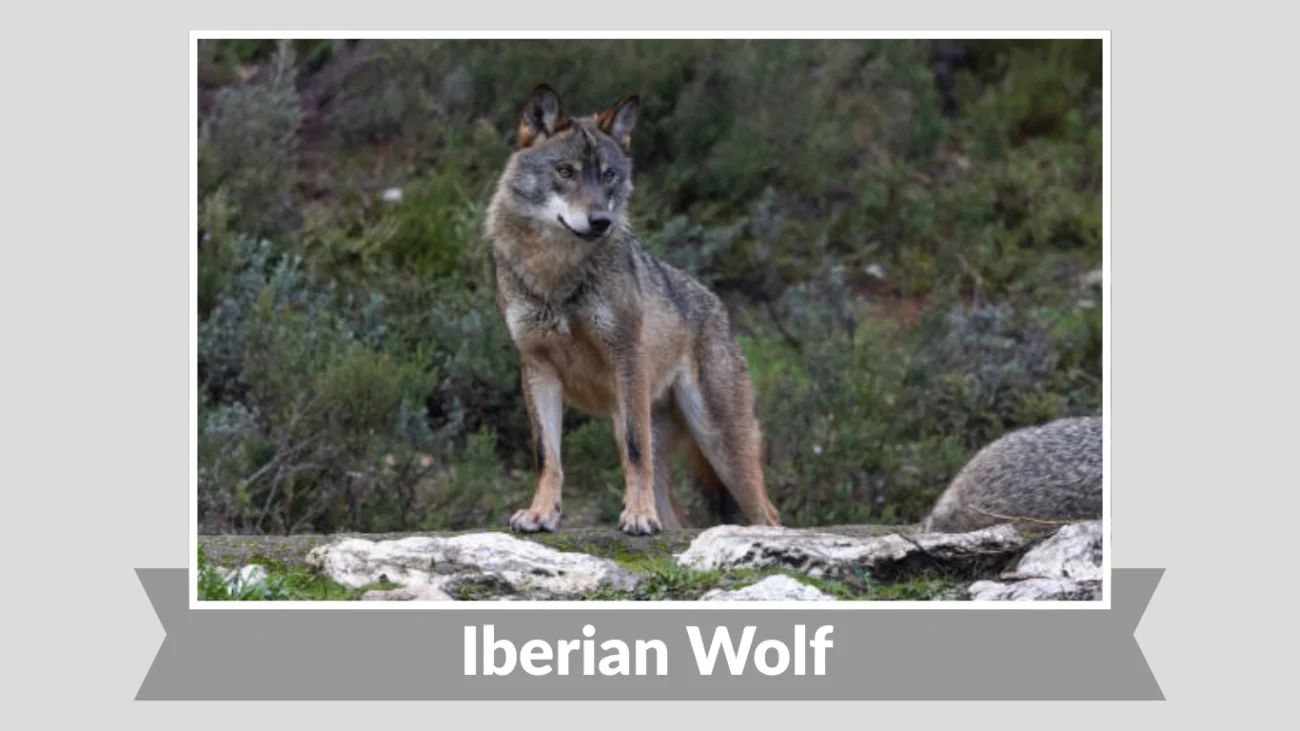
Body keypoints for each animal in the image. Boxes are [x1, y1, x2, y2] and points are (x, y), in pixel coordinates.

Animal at [483, 84, 781, 536]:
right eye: (566, 172)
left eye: (608, 175)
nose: (600, 221)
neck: (556, 274)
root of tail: (718, 307)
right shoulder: (537, 369)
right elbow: (546, 455)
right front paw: (540, 513)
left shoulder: (626, 358)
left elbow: (634, 452)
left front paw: (638, 515)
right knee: (677, 518)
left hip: (722, 448)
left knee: (769, 514)